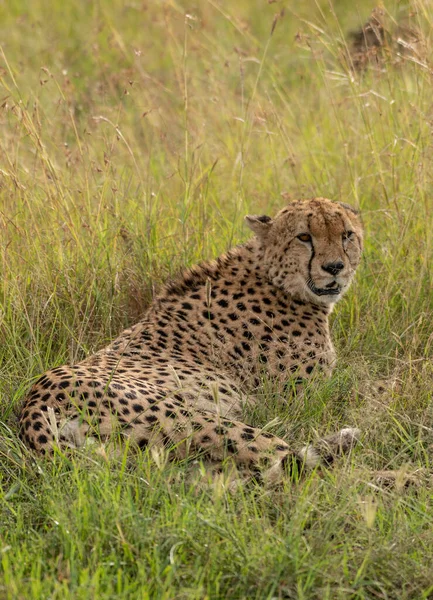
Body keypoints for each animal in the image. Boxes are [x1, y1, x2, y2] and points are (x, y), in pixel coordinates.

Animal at [17, 197, 362, 482]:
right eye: (304, 237)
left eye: (347, 235)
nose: (335, 267)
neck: (271, 274)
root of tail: (32, 407)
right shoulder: (299, 401)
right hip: (199, 419)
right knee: (286, 463)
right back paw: (354, 449)